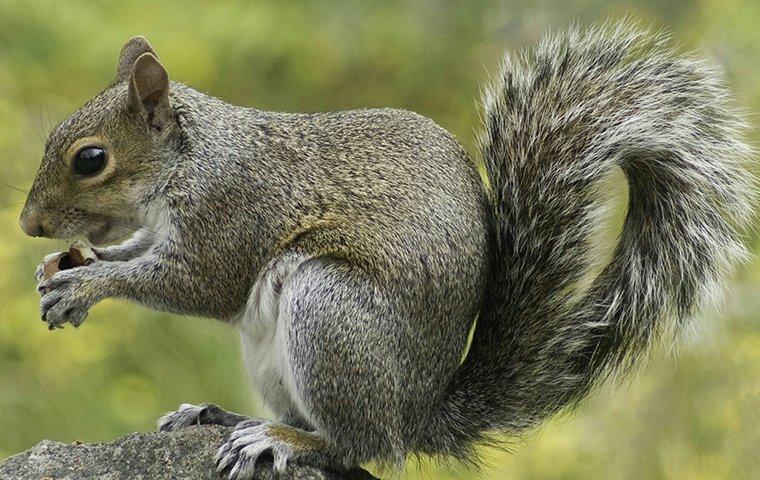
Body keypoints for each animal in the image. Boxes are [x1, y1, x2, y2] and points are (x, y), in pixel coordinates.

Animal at [17, 22, 756, 480]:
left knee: (359, 446)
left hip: (330, 313)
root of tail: (418, 411)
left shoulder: (232, 211)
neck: (189, 160)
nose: (27, 225)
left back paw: (283, 439)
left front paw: (85, 285)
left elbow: (198, 283)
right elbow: (141, 253)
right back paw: (225, 416)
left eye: (90, 159)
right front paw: (66, 268)